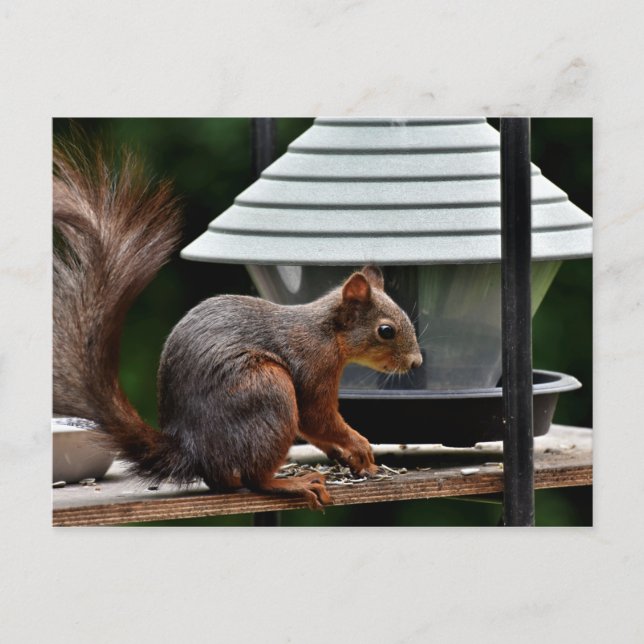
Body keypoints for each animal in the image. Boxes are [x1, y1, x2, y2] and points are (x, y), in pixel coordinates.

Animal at [53, 136, 423, 510]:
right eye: (386, 331)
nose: (415, 362)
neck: (328, 333)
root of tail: (196, 452)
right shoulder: (312, 366)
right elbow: (315, 417)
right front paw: (359, 445)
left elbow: (312, 429)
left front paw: (348, 456)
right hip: (268, 391)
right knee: (255, 478)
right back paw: (291, 482)